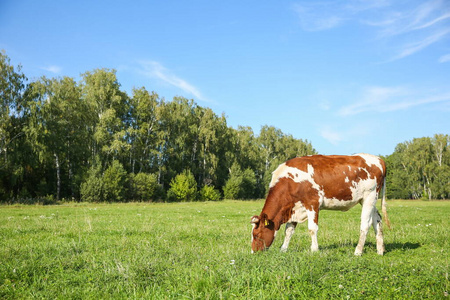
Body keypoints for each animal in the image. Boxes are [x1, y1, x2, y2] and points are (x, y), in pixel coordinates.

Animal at [250, 155, 390, 255]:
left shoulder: (312, 203)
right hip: (368, 199)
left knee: (365, 224)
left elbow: (312, 229)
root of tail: (378, 159)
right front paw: (283, 249)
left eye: (256, 235)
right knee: (377, 220)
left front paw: (314, 250)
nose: (253, 252)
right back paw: (380, 250)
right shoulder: (294, 208)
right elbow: (288, 231)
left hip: (369, 196)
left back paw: (358, 251)